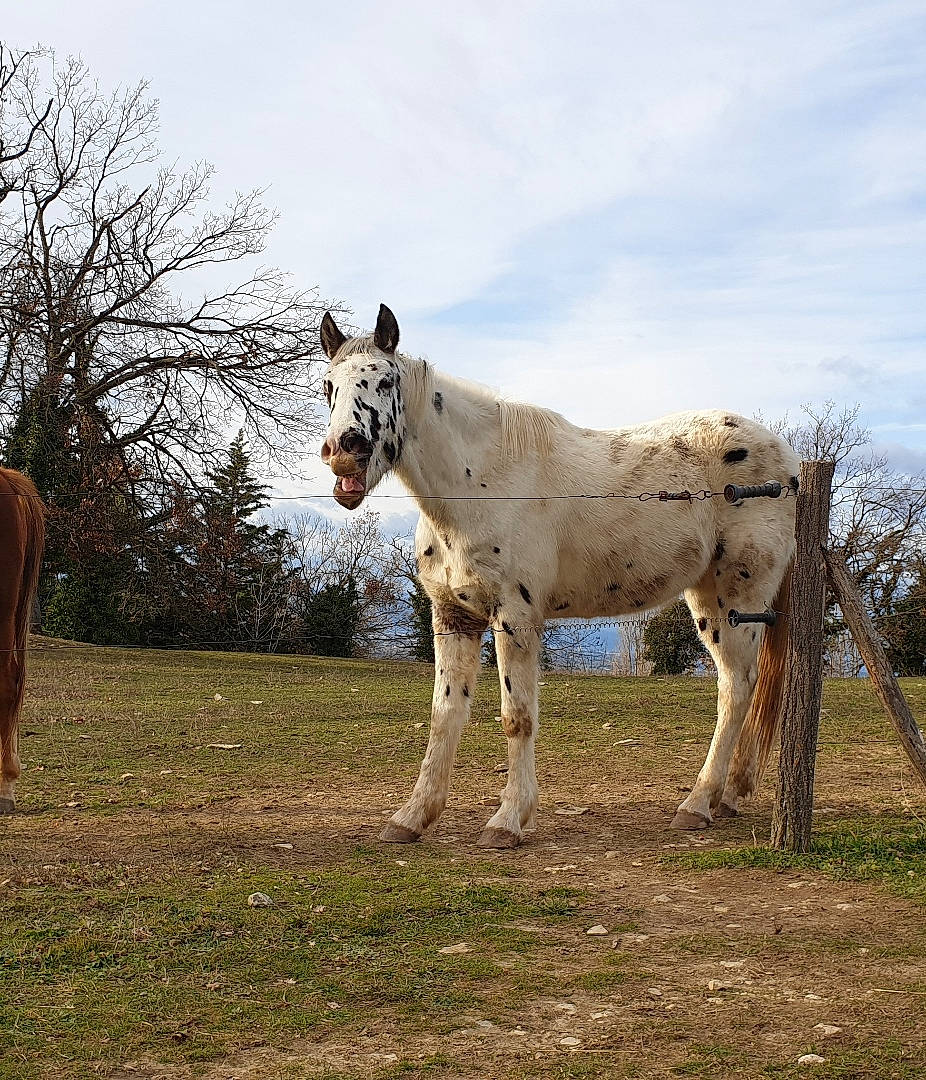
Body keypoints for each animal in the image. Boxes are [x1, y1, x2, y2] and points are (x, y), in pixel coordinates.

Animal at [319, 305, 797, 848]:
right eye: (328, 384)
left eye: (385, 380)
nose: (343, 451)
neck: (481, 481)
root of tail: (787, 460)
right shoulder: (453, 616)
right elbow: (445, 715)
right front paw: (412, 817)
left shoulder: (515, 617)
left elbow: (517, 718)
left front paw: (507, 821)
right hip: (708, 596)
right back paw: (728, 796)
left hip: (736, 597)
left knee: (736, 689)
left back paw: (698, 804)